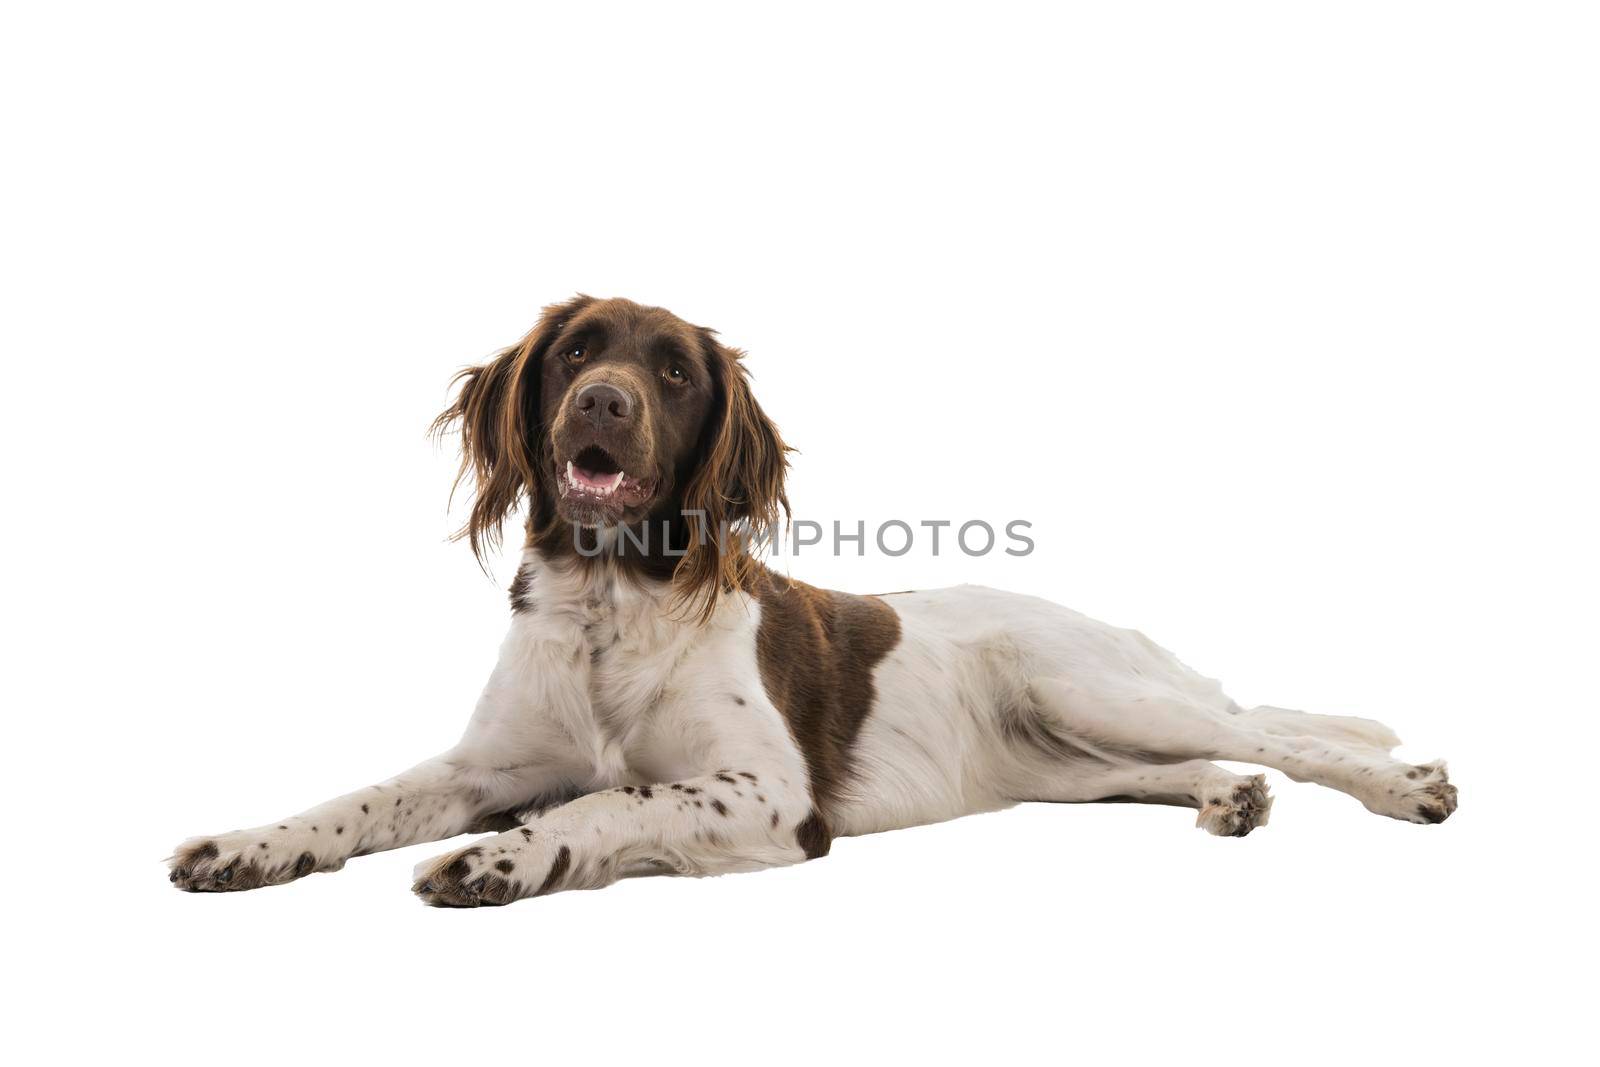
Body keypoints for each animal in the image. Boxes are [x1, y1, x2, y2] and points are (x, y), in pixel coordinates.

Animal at [168, 294, 1459, 908]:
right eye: (574, 350)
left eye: (671, 371)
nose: (600, 401)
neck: (611, 605)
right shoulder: (484, 764)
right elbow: (358, 798)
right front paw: (247, 843)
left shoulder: (769, 796)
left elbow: (613, 799)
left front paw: (501, 861)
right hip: (1059, 757)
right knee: (1198, 761)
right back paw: (1229, 798)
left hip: (1093, 684)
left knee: (1282, 730)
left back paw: (1405, 784)